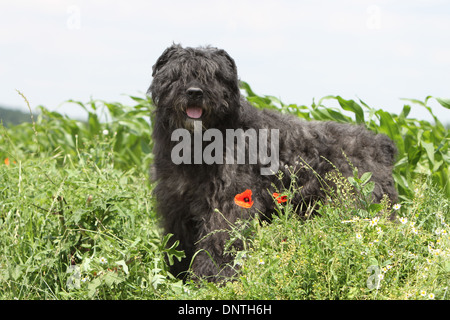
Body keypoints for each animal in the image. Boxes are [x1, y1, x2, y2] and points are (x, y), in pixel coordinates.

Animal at [148, 43, 398, 282]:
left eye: (214, 75)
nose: (194, 92)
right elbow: (181, 243)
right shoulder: (176, 206)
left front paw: (210, 279)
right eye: (177, 73)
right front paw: (179, 275)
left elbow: (220, 242)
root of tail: (380, 144)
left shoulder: (228, 204)